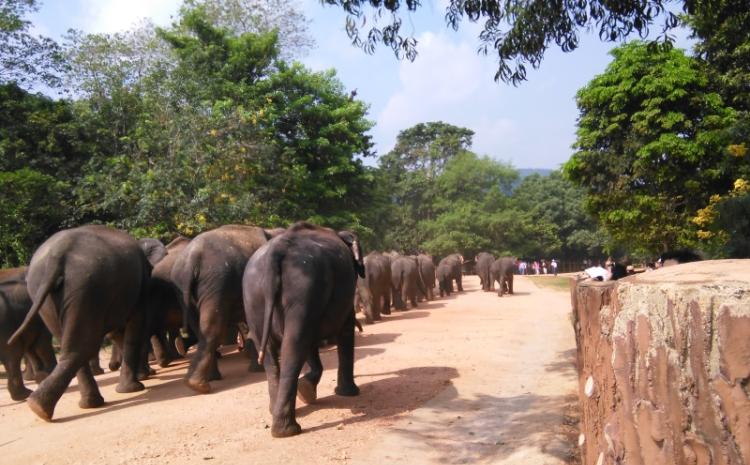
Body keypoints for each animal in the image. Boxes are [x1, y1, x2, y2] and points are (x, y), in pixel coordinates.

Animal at [8, 225, 153, 420]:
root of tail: (57, 253)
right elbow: (134, 326)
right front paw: (134, 387)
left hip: (53, 292)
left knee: (70, 344)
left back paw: (43, 407)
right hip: (87, 287)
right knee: (84, 345)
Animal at [170, 225, 282, 392]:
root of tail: (191, 261)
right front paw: (258, 368)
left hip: (184, 290)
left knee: (200, 328)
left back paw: (205, 380)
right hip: (216, 284)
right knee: (213, 328)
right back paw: (200, 386)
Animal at [242, 220, 366, 436]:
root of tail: (276, 250)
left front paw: (306, 391)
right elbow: (345, 328)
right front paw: (347, 393)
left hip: (255, 294)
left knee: (273, 351)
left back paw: (278, 415)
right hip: (303, 284)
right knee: (295, 344)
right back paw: (288, 430)